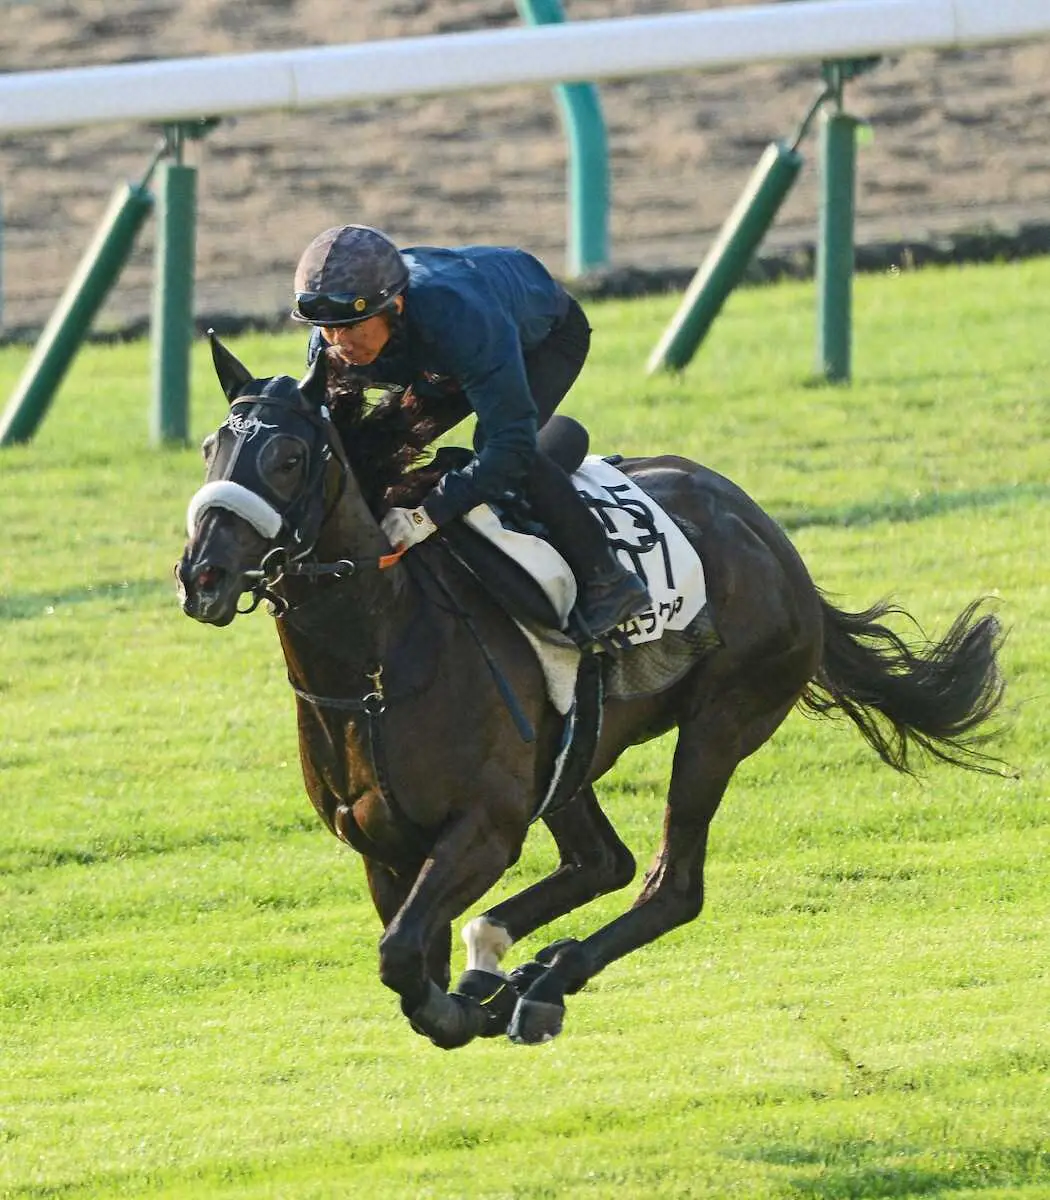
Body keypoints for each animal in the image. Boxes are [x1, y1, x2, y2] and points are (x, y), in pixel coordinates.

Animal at [176, 338, 1008, 1051]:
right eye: (212, 448)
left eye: (287, 457)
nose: (202, 574)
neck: (376, 665)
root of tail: (768, 533)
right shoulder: (383, 851)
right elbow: (409, 957)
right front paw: (478, 988)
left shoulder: (486, 827)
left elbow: (406, 960)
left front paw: (475, 1006)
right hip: (573, 758)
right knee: (604, 861)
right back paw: (517, 968)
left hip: (723, 721)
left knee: (672, 886)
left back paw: (543, 981)